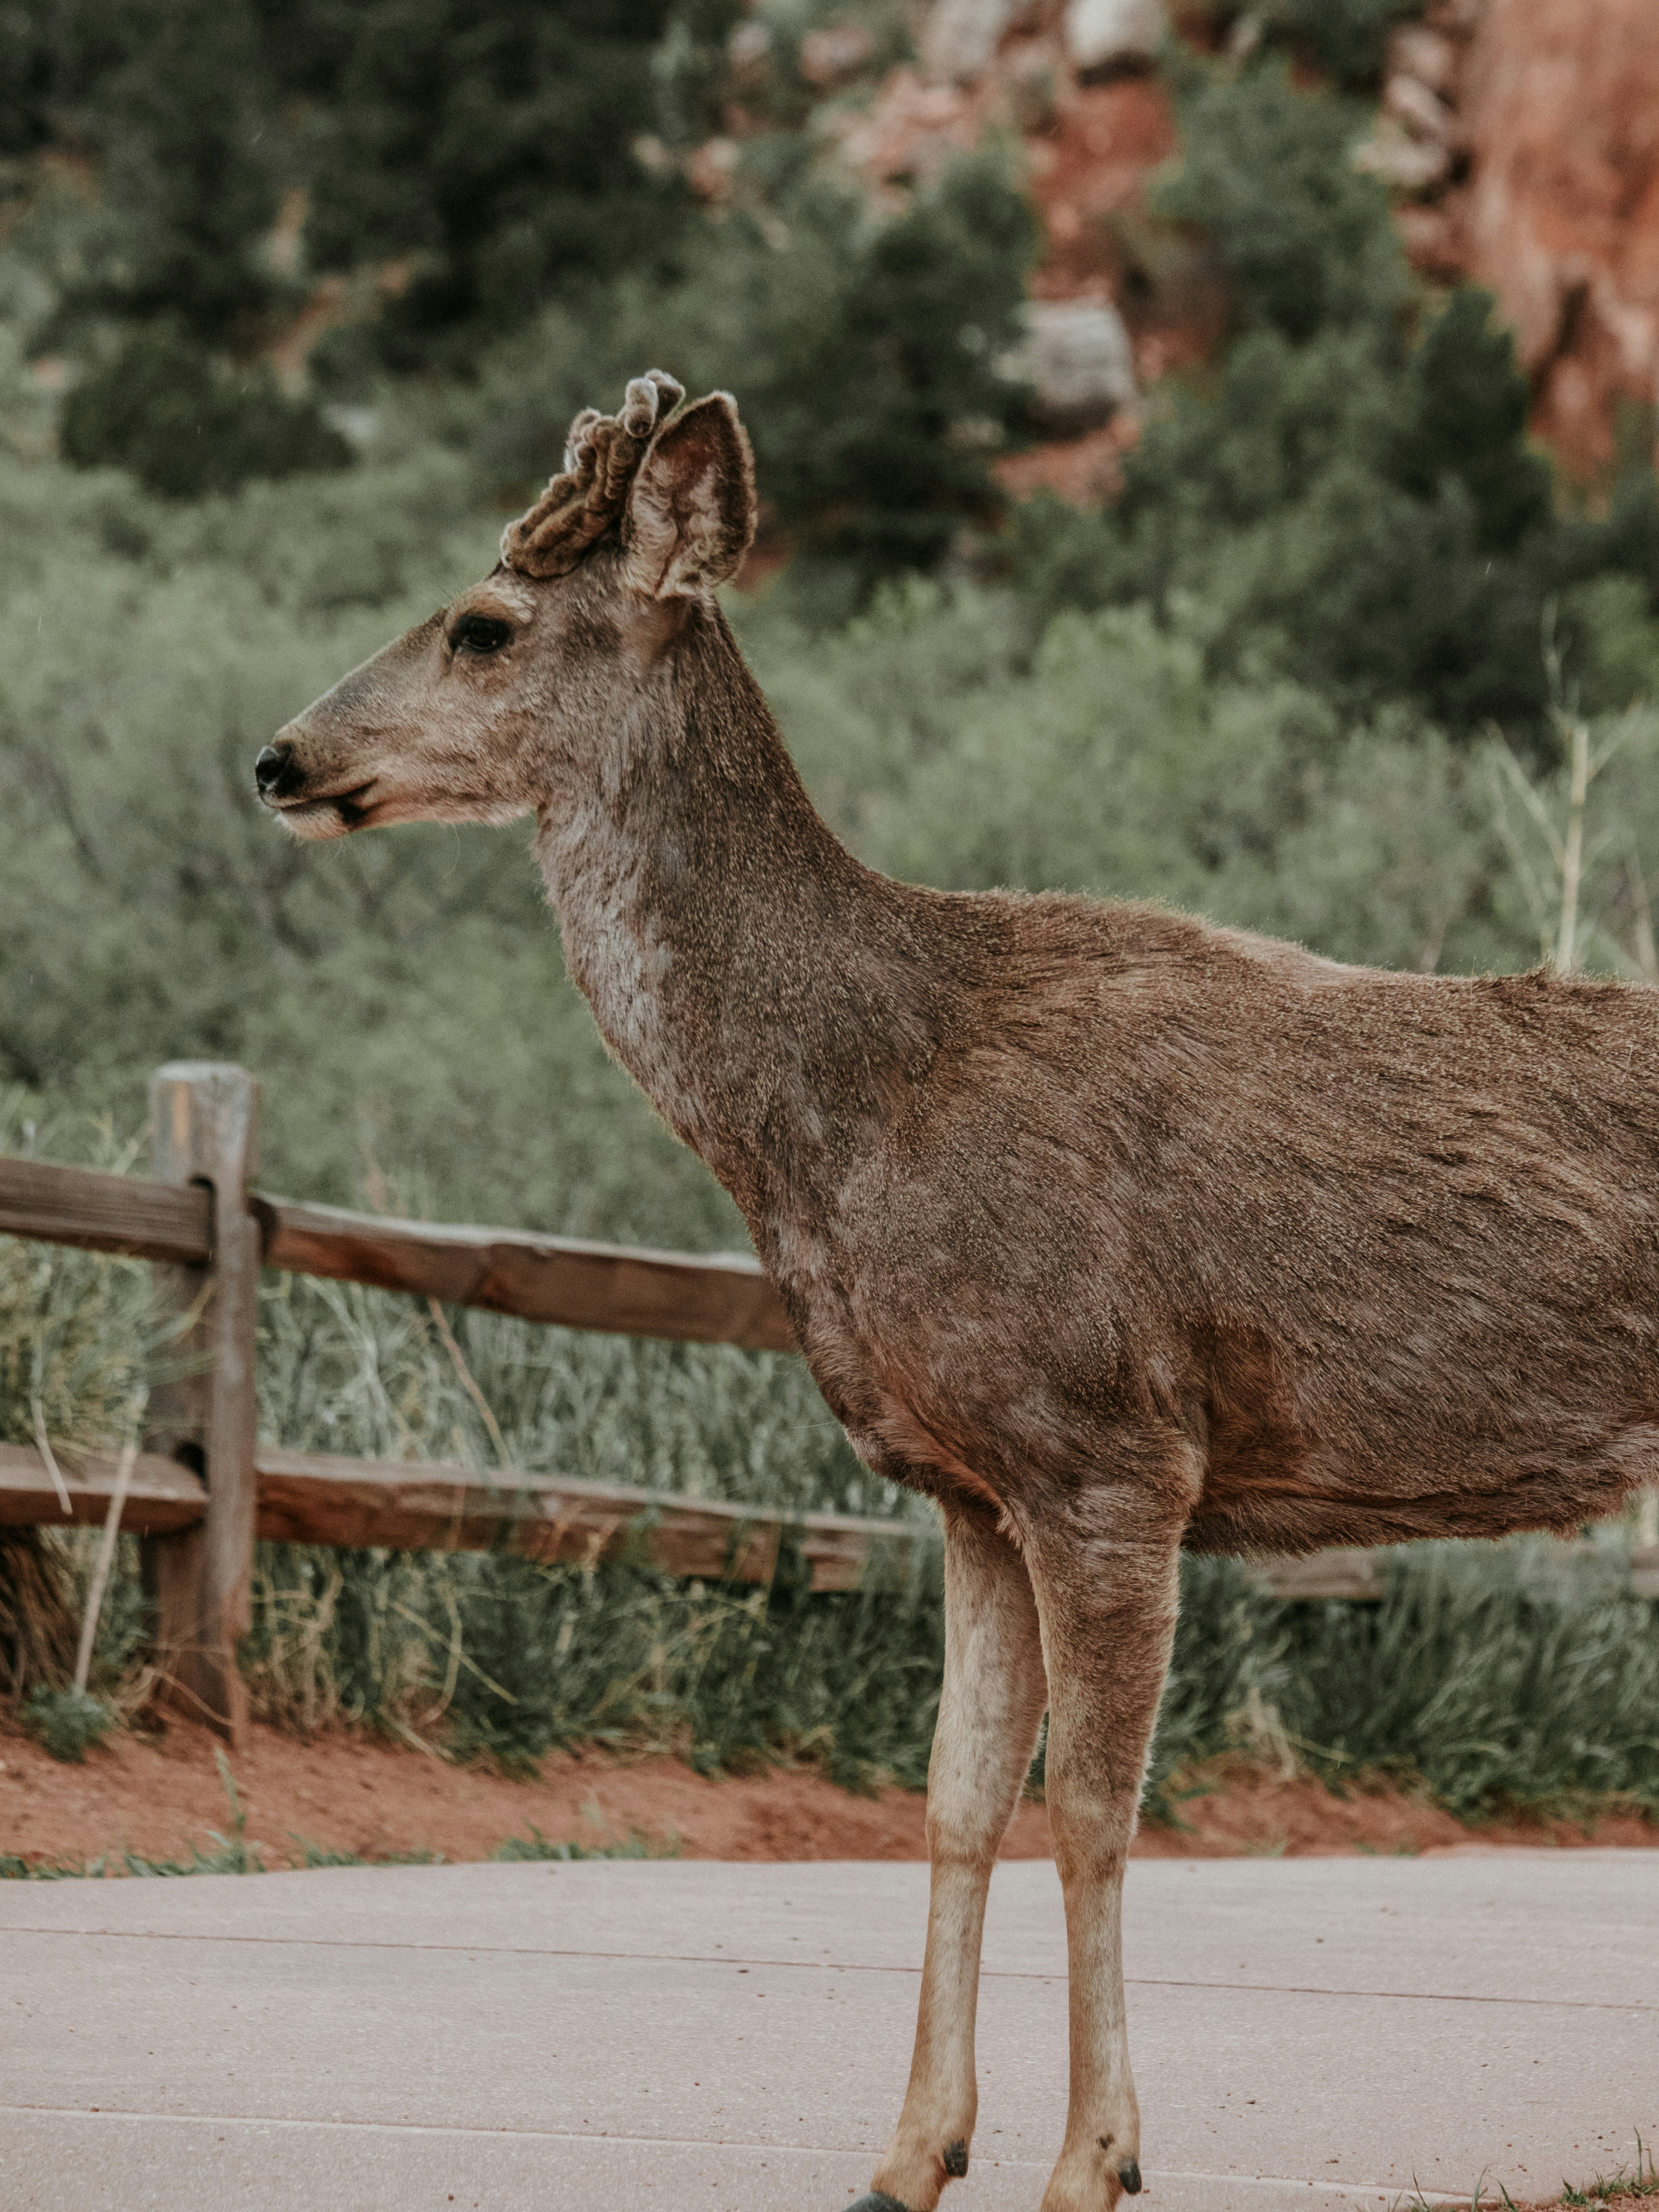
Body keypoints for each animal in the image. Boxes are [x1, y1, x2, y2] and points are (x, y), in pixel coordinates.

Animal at [258, 371, 1654, 2212]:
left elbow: (1095, 1808)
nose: (277, 756)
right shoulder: (973, 1488)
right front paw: (912, 2151)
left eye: (483, 624)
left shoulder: (1109, 1447)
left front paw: (1093, 2160)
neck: (854, 1106)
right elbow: (950, 1796)